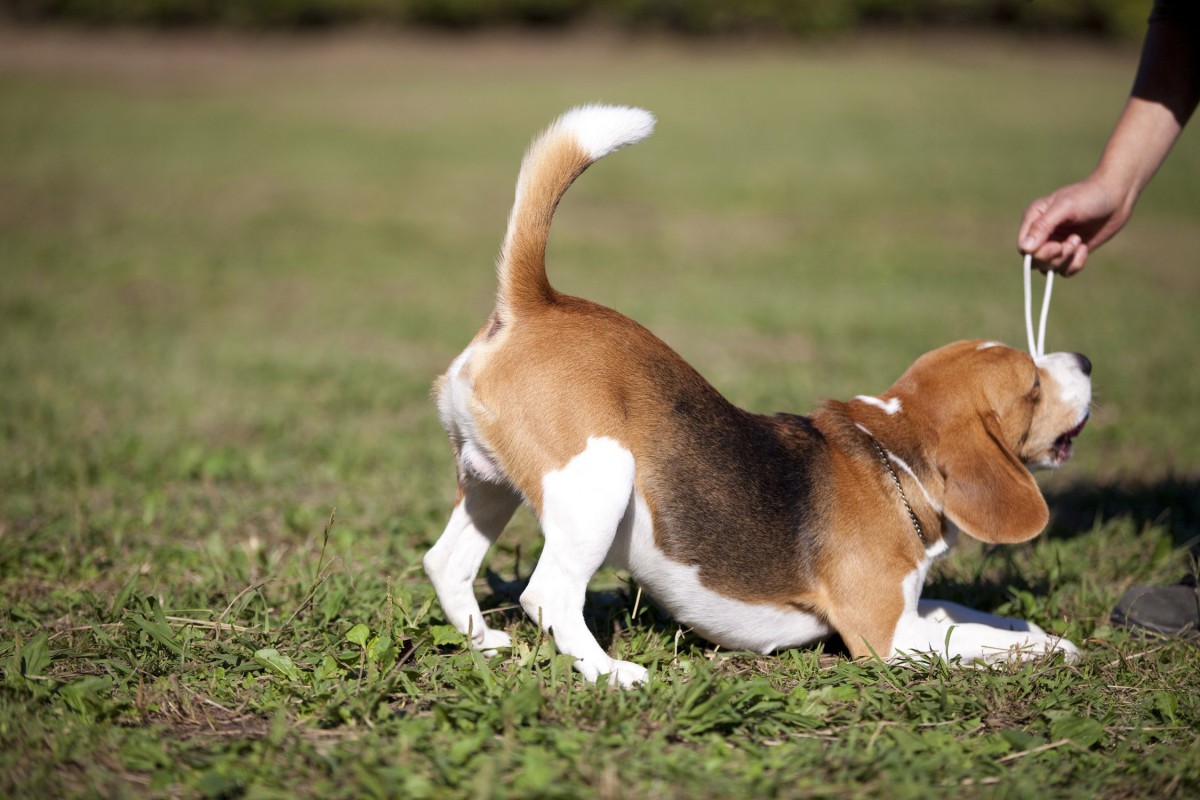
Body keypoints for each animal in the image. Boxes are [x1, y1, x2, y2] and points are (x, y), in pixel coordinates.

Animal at [427, 103, 1094, 686]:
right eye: (1034, 386)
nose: (1085, 360)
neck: (893, 463)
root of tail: (535, 301)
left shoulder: (910, 612)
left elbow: (977, 617)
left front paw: (1036, 630)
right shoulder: (887, 635)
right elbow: (979, 639)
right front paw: (1053, 648)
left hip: (490, 484)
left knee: (446, 563)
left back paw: (486, 643)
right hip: (600, 478)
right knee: (549, 596)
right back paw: (612, 672)